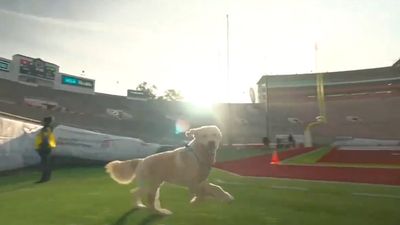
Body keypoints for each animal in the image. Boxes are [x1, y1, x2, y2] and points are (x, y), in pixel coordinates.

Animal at [104, 125, 233, 215]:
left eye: (215, 135)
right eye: (204, 136)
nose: (212, 142)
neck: (198, 155)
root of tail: (141, 160)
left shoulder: (201, 181)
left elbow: (215, 188)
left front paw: (226, 197)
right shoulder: (192, 183)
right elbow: (202, 193)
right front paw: (197, 201)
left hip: (154, 185)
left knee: (137, 193)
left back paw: (140, 206)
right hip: (151, 185)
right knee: (147, 200)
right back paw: (158, 212)